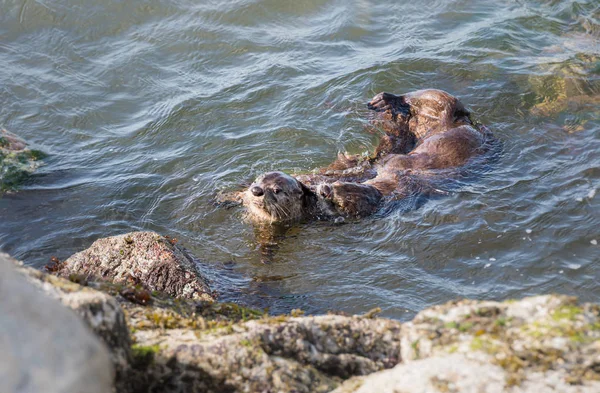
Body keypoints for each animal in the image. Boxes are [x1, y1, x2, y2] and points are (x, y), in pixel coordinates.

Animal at [227, 89, 494, 224]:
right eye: (261, 181)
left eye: (277, 190)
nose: (256, 190)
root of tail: (463, 120)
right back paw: (385, 104)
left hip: (443, 111)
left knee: (436, 97)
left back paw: (387, 100)